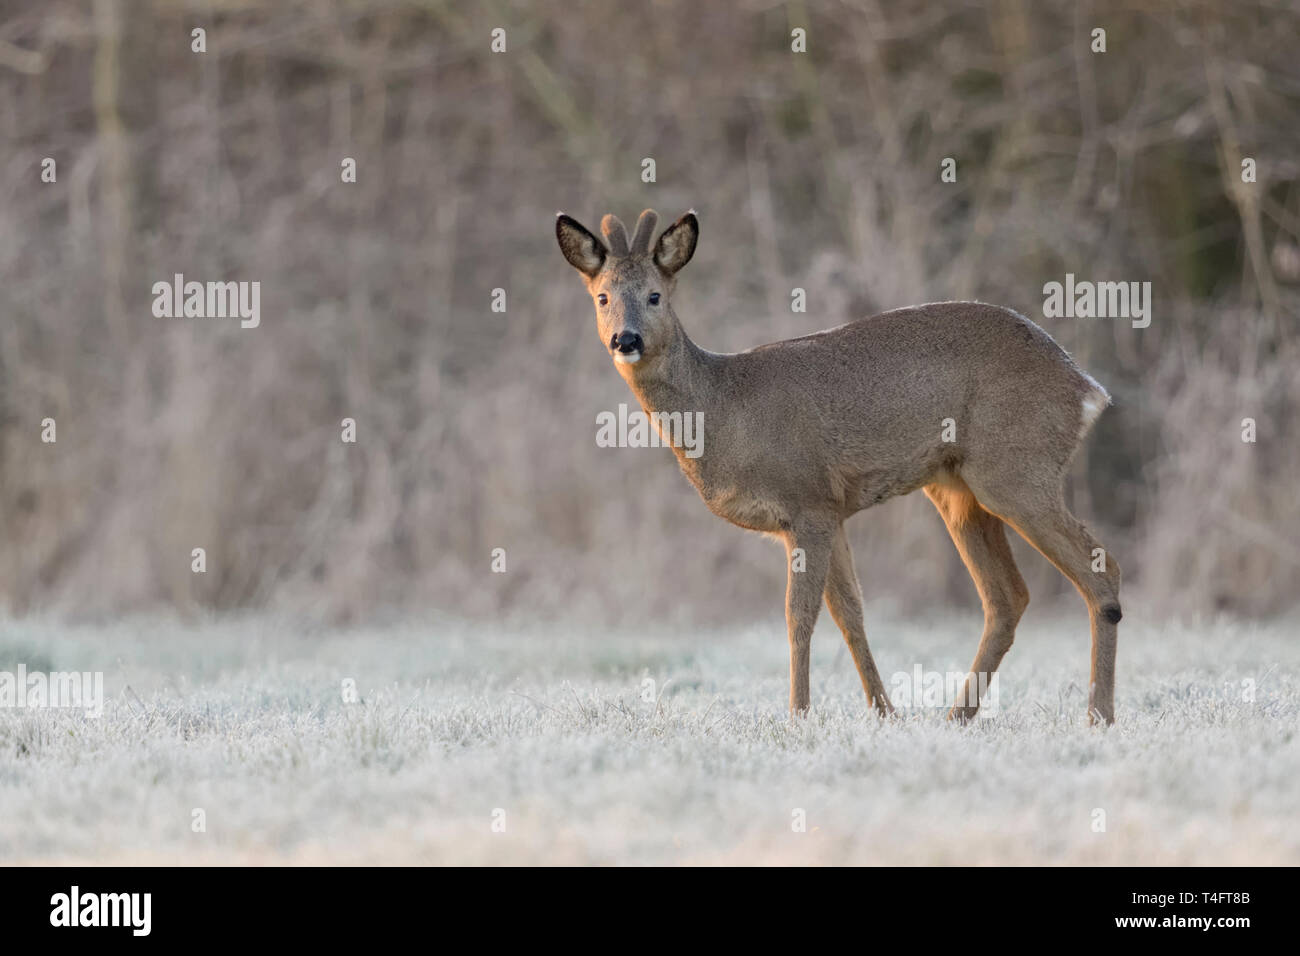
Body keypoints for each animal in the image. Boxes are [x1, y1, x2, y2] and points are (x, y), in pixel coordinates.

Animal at [553, 205, 1123, 723]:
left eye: (655, 295)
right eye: (602, 297)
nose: (625, 339)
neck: (725, 410)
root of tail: (1086, 388)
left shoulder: (807, 501)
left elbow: (799, 617)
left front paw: (799, 715)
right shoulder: (830, 512)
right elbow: (851, 614)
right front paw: (885, 713)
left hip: (1016, 468)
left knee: (1101, 569)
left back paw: (1098, 716)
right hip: (957, 490)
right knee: (1008, 597)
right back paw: (956, 716)